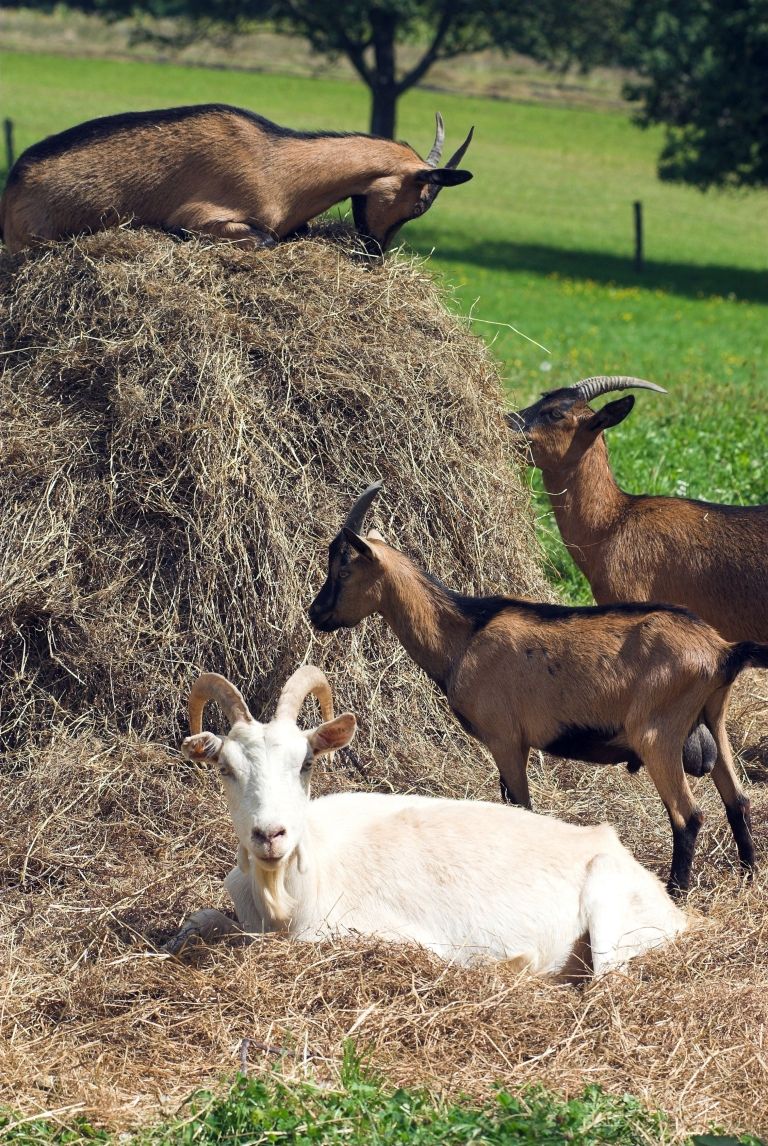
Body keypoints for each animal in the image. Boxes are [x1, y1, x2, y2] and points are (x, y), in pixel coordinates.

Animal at [0, 106, 472, 255]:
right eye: (419, 204)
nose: (375, 255)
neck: (279, 165)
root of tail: (14, 180)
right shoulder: (201, 215)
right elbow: (266, 239)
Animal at [167, 664, 687, 976]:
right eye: (226, 768)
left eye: (306, 763)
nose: (270, 834)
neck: (286, 890)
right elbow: (202, 918)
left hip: (611, 911)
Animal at [307, 483, 765, 893]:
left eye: (343, 570)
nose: (316, 613)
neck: (464, 634)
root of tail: (721, 650)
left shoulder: (506, 738)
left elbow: (520, 806)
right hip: (712, 717)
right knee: (737, 800)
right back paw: (748, 875)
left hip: (658, 734)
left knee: (688, 816)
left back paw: (676, 891)